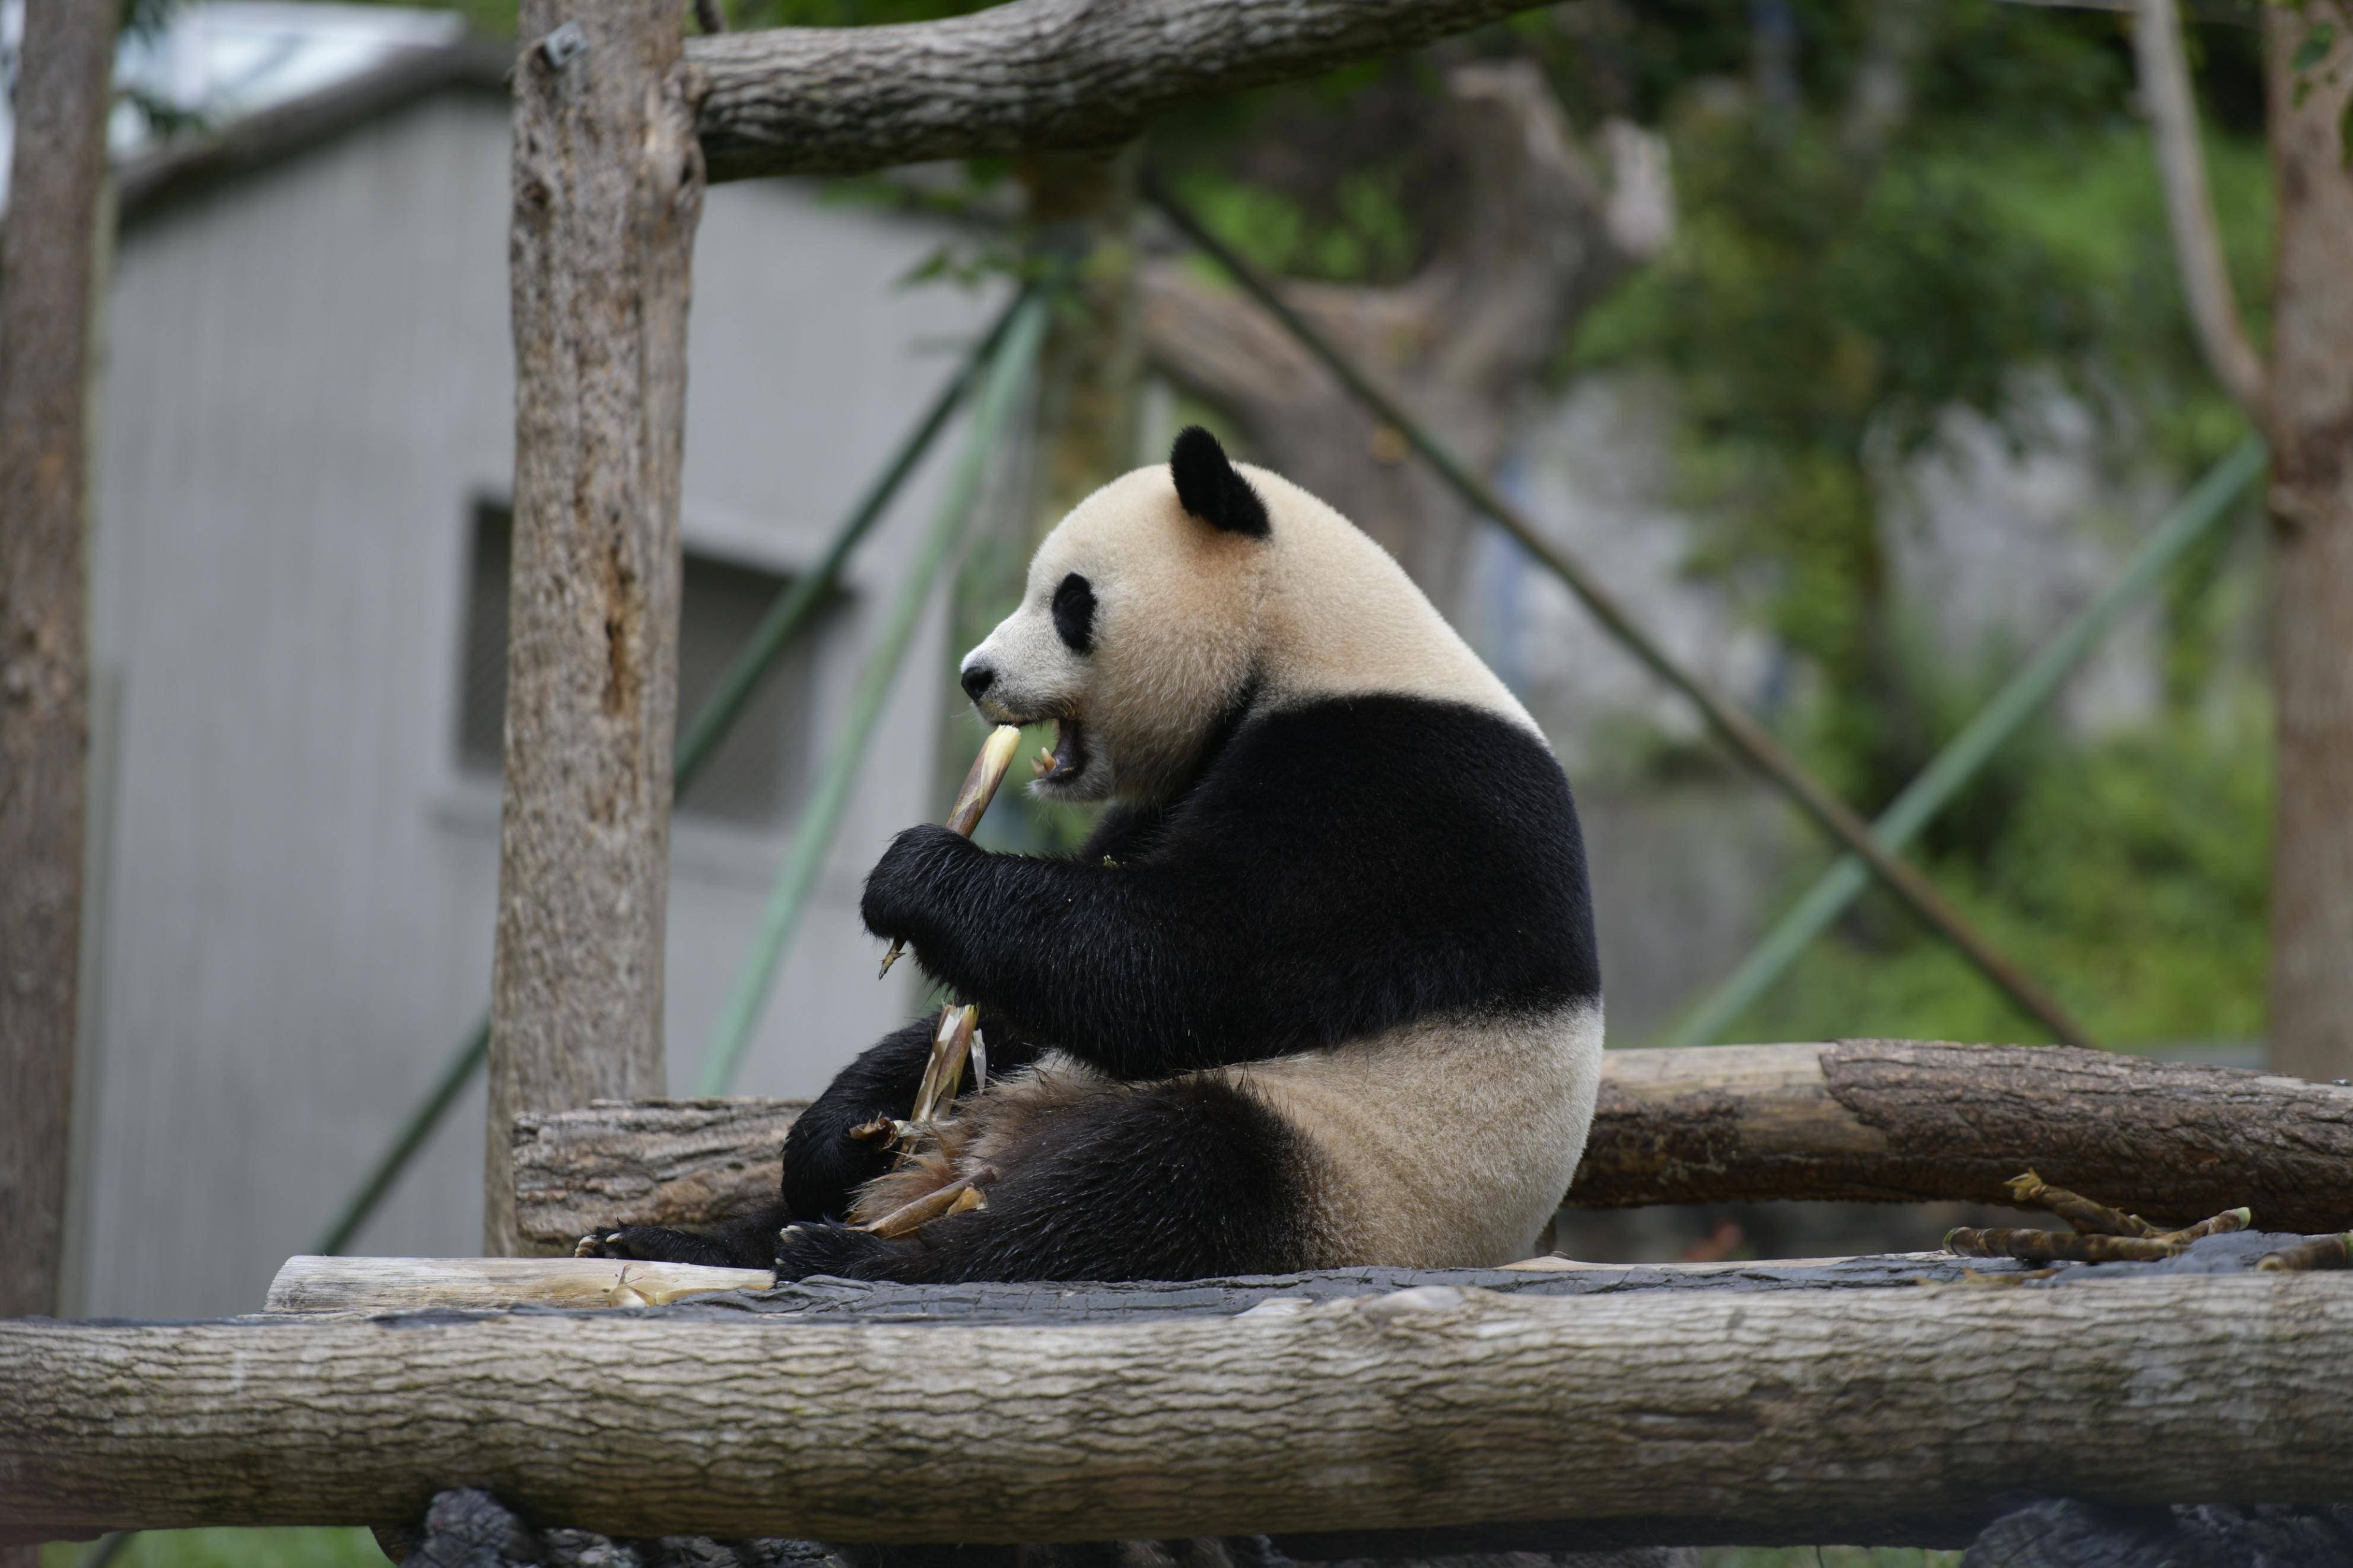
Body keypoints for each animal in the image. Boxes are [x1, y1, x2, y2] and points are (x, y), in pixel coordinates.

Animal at [586, 423, 1609, 1278]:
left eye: (1069, 601)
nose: (974, 674)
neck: (1310, 639)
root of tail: (990, 1152)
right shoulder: (1174, 794)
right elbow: (1029, 993)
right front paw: (837, 1131)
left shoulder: (1396, 790)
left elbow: (1186, 964)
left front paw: (916, 876)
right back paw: (666, 1236)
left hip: (1354, 1173)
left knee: (1168, 1178)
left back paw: (872, 1253)